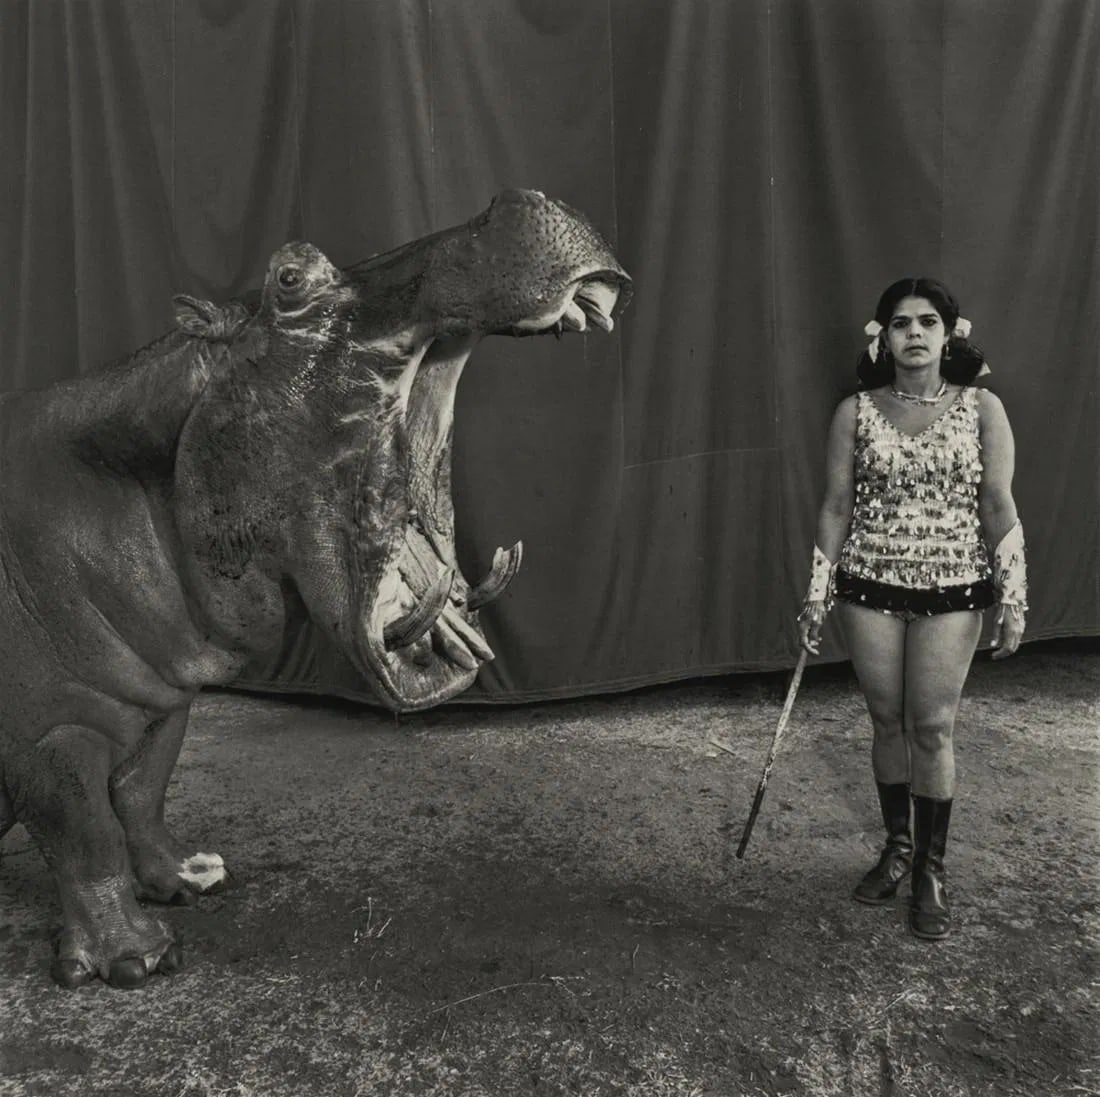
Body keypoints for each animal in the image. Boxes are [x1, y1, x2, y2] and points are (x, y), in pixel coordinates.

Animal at [0, 189, 630, 989]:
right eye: (290, 277)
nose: (522, 198)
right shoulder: (51, 733)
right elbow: (86, 831)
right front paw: (136, 960)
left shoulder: (161, 699)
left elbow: (141, 795)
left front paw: (194, 876)